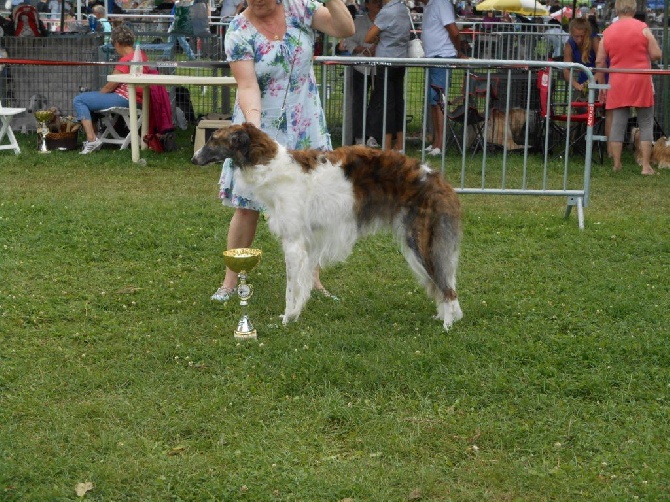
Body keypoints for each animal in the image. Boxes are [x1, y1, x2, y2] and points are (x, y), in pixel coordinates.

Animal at [192, 123, 464, 332]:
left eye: (214, 140)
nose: (194, 158)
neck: (270, 166)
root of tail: (438, 180)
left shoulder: (293, 243)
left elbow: (291, 288)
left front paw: (287, 319)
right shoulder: (306, 244)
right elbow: (301, 286)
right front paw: (295, 315)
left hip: (421, 242)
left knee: (447, 290)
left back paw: (447, 325)